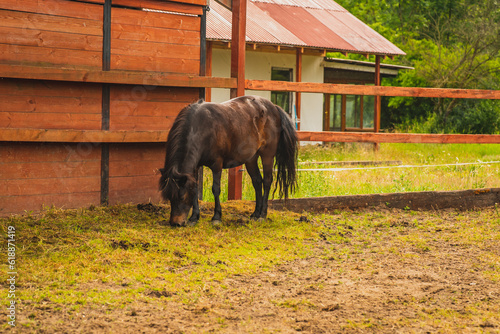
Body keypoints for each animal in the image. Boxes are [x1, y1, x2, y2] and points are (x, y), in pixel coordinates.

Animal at [159, 95, 296, 226]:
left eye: (182, 197)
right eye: (169, 197)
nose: (175, 223)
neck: (201, 127)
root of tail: (274, 107)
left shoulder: (217, 164)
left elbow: (216, 189)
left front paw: (216, 217)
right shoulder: (195, 167)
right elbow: (195, 188)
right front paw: (194, 217)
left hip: (267, 155)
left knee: (267, 181)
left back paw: (262, 215)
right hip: (251, 159)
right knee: (257, 181)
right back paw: (255, 214)